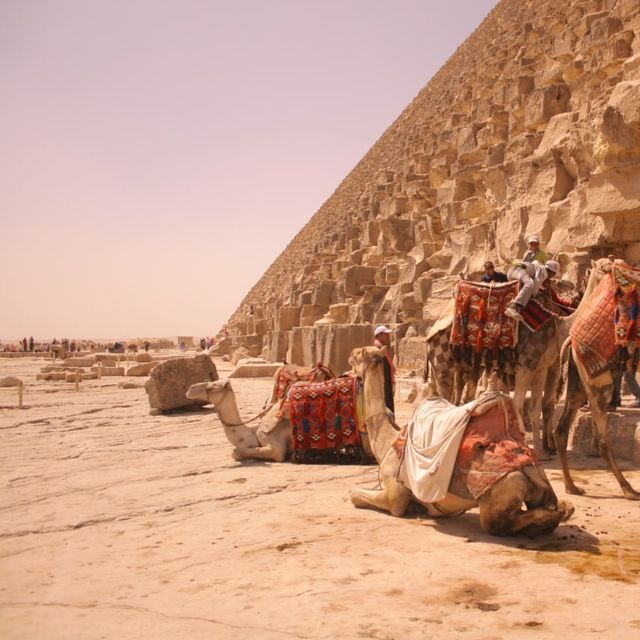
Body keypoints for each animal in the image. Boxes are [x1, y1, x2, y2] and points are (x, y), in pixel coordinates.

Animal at [350, 344, 576, 536]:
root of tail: (529, 470)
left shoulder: (395, 495)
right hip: (540, 483)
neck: (387, 442)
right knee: (556, 506)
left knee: (500, 523)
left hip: (501, 495)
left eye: (359, 353)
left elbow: (355, 495)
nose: (349, 356)